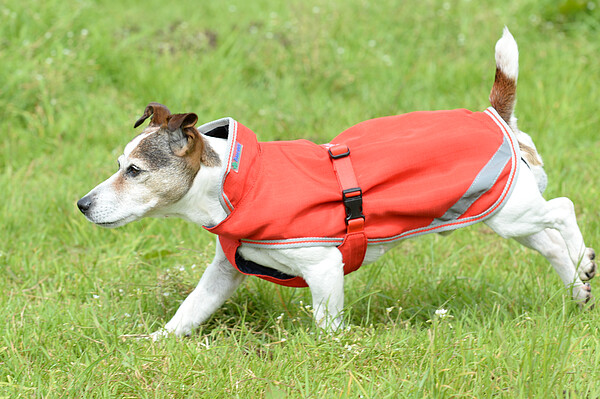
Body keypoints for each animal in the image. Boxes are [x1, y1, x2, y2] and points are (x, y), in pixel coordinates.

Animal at [78, 27, 596, 338]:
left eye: (134, 171)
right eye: (119, 163)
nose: (82, 204)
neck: (235, 182)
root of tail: (495, 114)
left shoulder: (324, 268)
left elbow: (327, 327)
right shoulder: (223, 273)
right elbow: (189, 311)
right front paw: (156, 340)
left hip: (513, 212)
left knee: (564, 209)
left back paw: (584, 263)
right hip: (506, 215)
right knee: (551, 243)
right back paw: (578, 284)